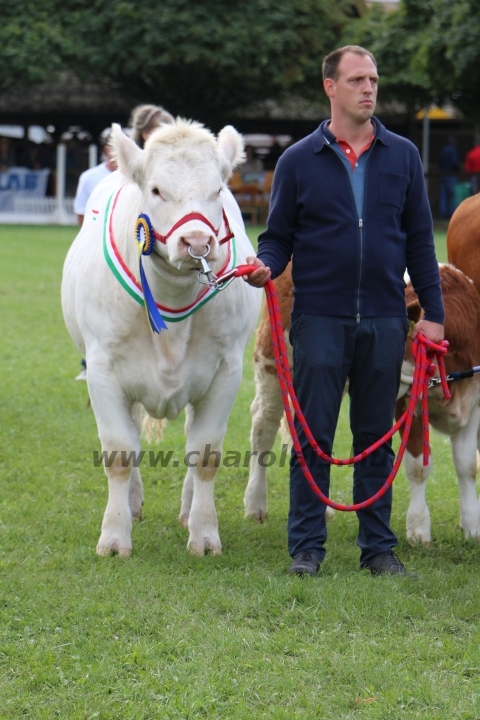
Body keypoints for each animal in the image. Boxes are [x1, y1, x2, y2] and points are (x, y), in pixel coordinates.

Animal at [63, 119, 260, 556]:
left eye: (218, 190)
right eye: (155, 190)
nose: (197, 243)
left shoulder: (226, 370)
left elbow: (205, 454)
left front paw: (204, 534)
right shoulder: (102, 370)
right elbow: (120, 452)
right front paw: (114, 536)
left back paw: (187, 510)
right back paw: (134, 503)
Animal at [246, 262, 480, 544]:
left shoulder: (473, 403)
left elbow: (467, 465)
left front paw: (471, 525)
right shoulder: (405, 405)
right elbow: (418, 467)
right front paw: (418, 527)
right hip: (272, 361)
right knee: (264, 424)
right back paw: (255, 504)